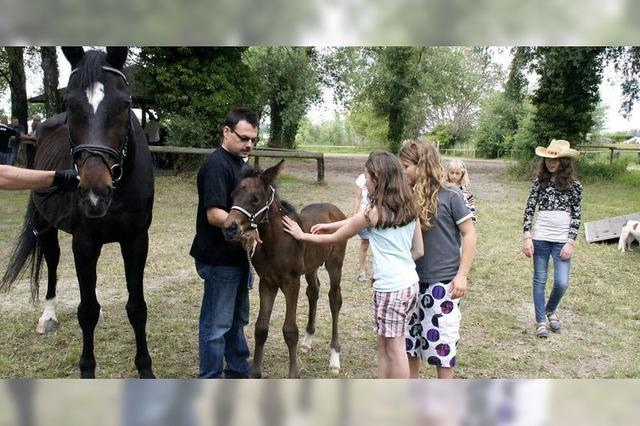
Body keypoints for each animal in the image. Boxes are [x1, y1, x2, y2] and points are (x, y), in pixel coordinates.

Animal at [222, 161, 348, 380]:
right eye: (233, 195)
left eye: (255, 199)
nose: (230, 228)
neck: (275, 241)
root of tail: (335, 210)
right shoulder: (267, 282)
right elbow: (261, 328)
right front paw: (255, 373)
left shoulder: (291, 282)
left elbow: (290, 330)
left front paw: (293, 375)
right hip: (311, 267)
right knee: (313, 291)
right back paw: (307, 342)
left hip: (335, 264)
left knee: (334, 299)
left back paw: (334, 358)